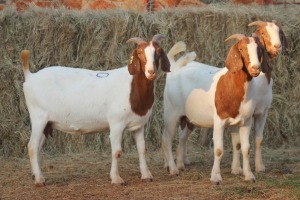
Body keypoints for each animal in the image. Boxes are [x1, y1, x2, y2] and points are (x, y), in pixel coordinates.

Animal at [20, 33, 171, 186]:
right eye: (139, 52)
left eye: (158, 52)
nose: (151, 72)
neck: (132, 87)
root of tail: (30, 76)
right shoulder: (116, 123)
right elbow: (117, 152)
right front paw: (116, 179)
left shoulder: (138, 125)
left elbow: (142, 149)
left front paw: (146, 175)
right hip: (38, 117)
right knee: (32, 146)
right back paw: (39, 180)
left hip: (47, 124)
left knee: (38, 147)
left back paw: (37, 175)